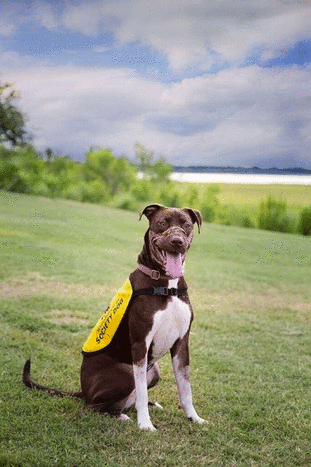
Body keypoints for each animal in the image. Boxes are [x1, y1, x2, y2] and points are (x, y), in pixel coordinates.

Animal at [23, 205, 206, 432]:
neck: (166, 283)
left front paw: (194, 417)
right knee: (95, 406)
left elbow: (185, 387)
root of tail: (84, 392)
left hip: (154, 371)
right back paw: (121, 415)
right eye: (162, 223)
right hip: (125, 372)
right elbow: (143, 390)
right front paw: (145, 424)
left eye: (186, 225)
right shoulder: (140, 343)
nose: (177, 241)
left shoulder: (182, 344)